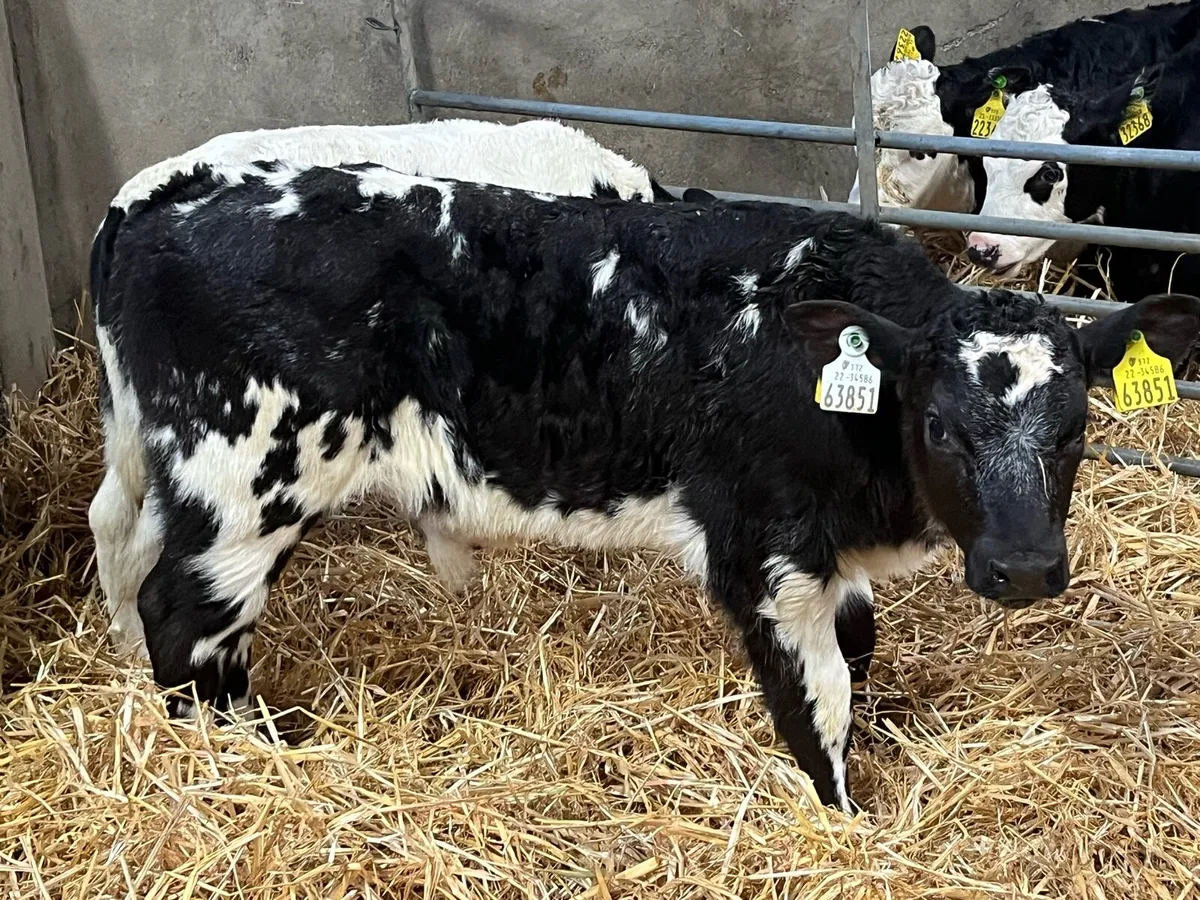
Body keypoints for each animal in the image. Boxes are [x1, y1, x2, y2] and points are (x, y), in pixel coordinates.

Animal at [88, 160, 1200, 812]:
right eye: (938, 426)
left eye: (1078, 427)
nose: (1027, 569)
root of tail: (160, 204)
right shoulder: (764, 548)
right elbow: (820, 692)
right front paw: (844, 813)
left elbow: (861, 645)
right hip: (248, 474)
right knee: (186, 613)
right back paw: (249, 752)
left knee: (137, 558)